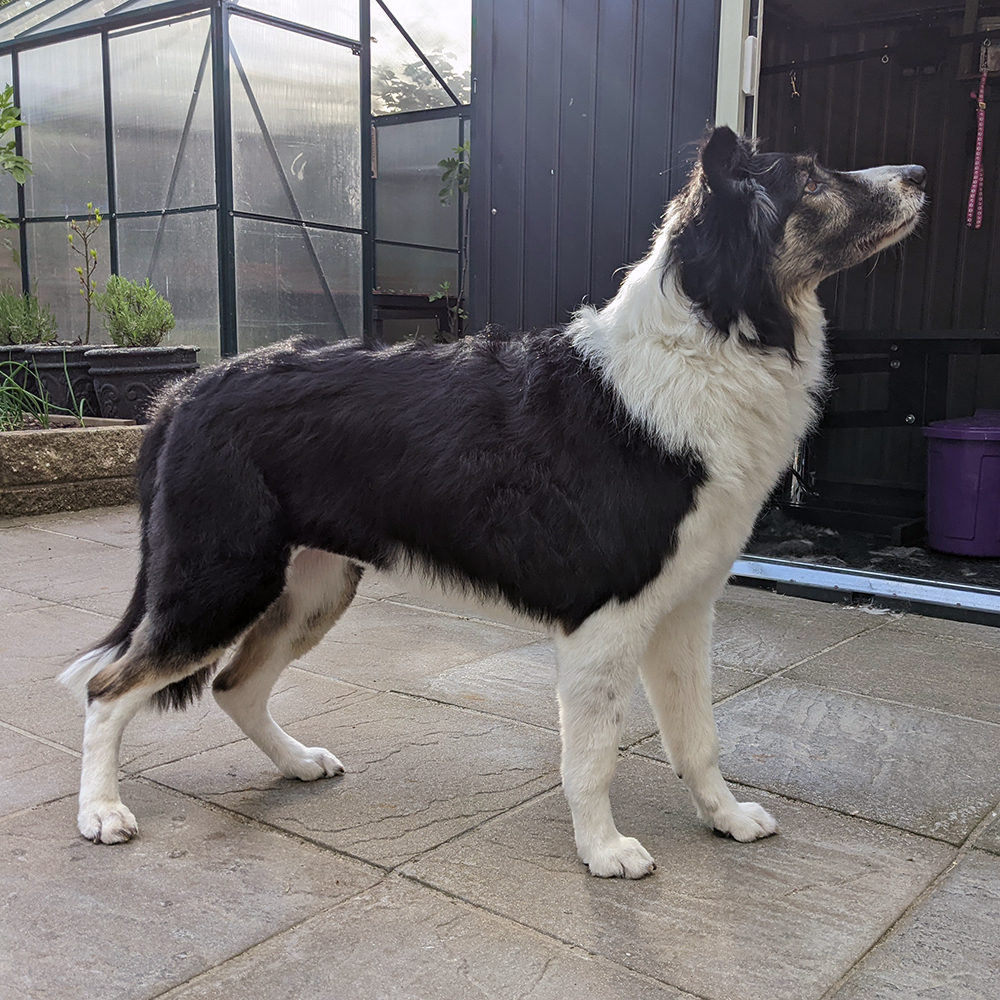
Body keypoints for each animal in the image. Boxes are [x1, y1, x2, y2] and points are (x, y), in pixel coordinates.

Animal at [58, 129, 924, 880]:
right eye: (810, 179)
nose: (918, 174)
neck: (712, 335)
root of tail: (184, 390)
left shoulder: (683, 611)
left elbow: (697, 737)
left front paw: (726, 818)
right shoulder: (604, 622)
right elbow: (592, 756)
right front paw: (602, 851)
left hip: (311, 586)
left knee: (235, 685)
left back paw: (296, 763)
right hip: (220, 581)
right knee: (109, 689)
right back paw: (100, 812)